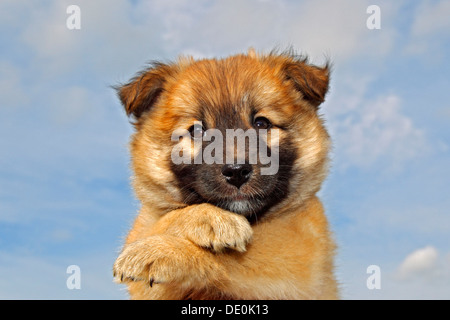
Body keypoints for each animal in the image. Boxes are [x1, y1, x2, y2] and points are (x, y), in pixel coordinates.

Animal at [111, 48, 338, 298]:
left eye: (261, 123)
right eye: (196, 130)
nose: (237, 172)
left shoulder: (295, 260)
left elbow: (228, 258)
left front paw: (160, 252)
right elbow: (156, 223)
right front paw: (211, 219)